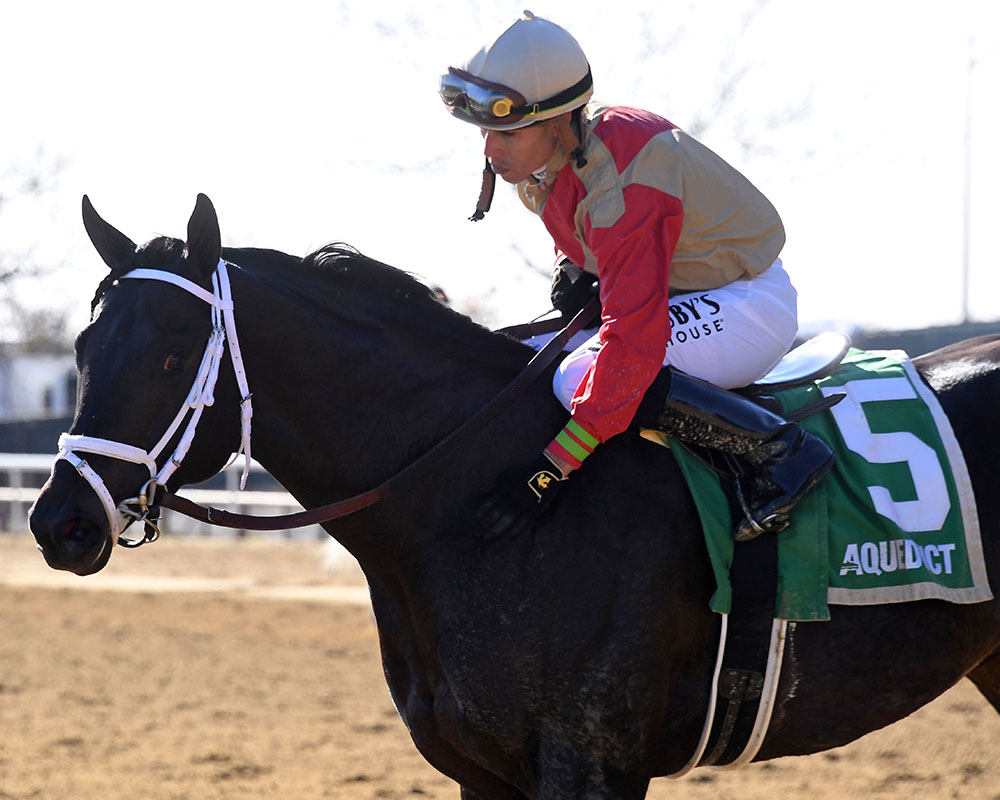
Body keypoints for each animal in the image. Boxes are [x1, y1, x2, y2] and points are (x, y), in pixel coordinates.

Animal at [27, 195, 996, 800]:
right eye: (80, 347)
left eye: (167, 358)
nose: (58, 522)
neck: (479, 503)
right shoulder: (478, 770)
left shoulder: (590, 766)